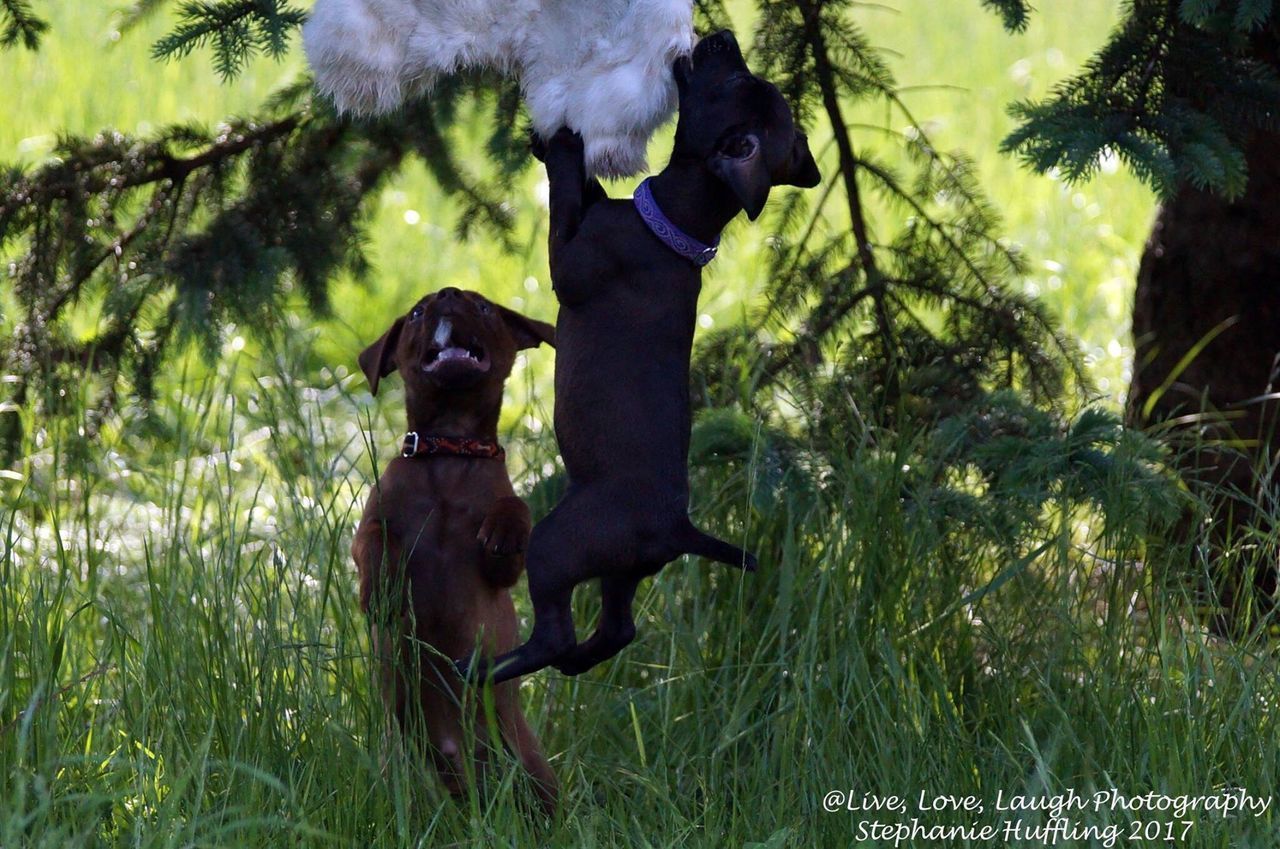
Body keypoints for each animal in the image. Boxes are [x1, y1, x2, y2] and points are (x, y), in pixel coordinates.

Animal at [350, 289, 555, 814]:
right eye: (417, 313)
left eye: (483, 308)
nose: (448, 294)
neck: (449, 449)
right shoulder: (372, 520)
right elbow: (374, 540)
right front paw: (381, 589)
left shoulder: (502, 571)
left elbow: (514, 508)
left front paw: (504, 531)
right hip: (405, 766)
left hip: (528, 763)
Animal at [463, 29, 819, 686]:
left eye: (736, 81)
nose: (721, 35)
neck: (675, 226)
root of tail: (679, 528)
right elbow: (584, 193)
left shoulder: (571, 267)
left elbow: (565, 201)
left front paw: (562, 145)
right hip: (621, 569)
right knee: (615, 631)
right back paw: (571, 664)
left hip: (558, 544)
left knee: (555, 631)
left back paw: (483, 668)